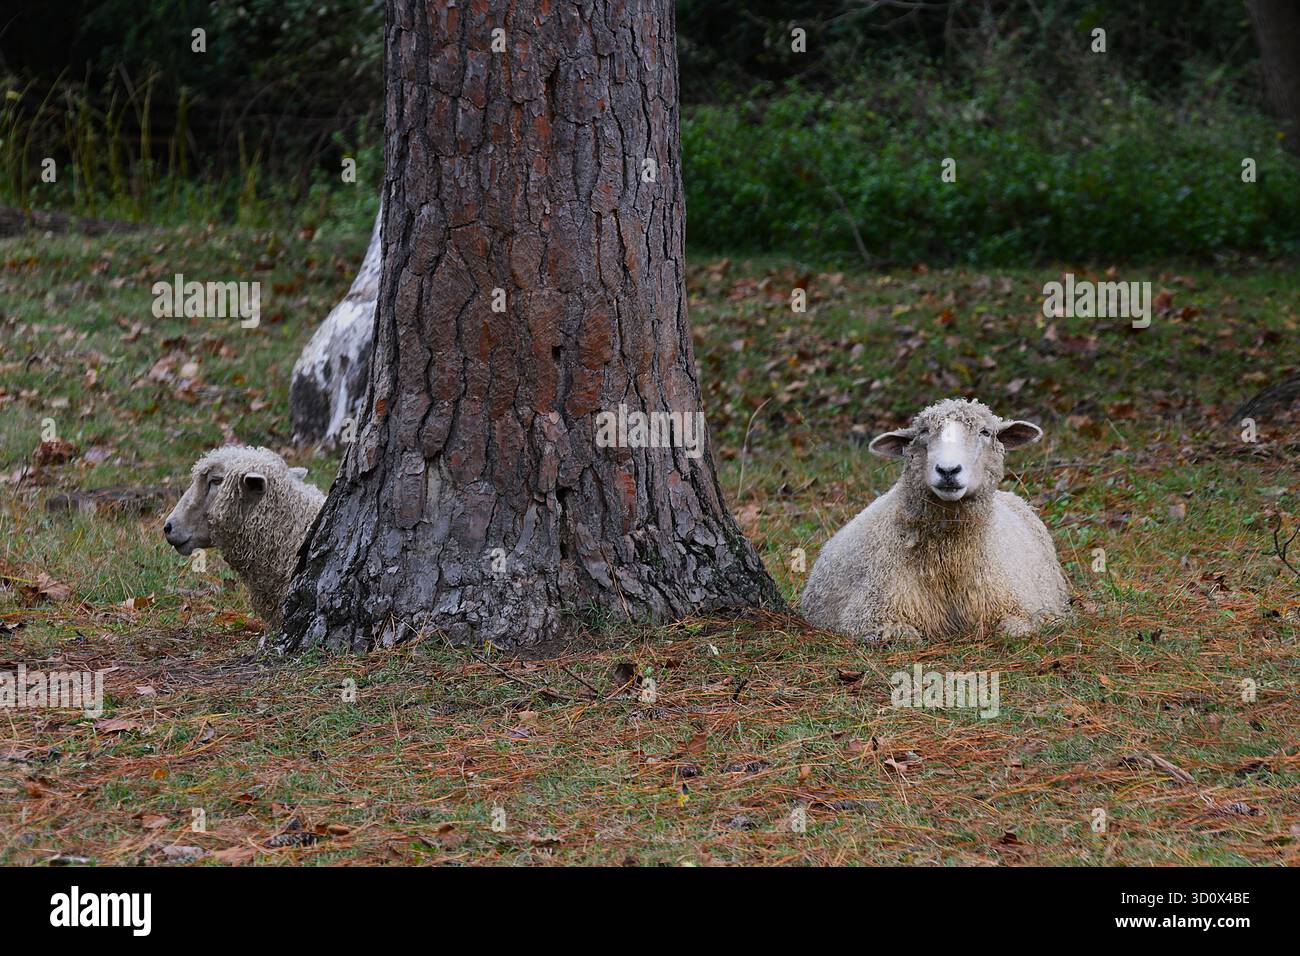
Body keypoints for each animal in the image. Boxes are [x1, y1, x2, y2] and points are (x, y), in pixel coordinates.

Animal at [801, 398, 1068, 642]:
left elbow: (1015, 629)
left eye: (985, 432)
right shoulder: (870, 615)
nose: (948, 470)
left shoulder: (1020, 606)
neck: (947, 561)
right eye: (923, 432)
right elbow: (905, 636)